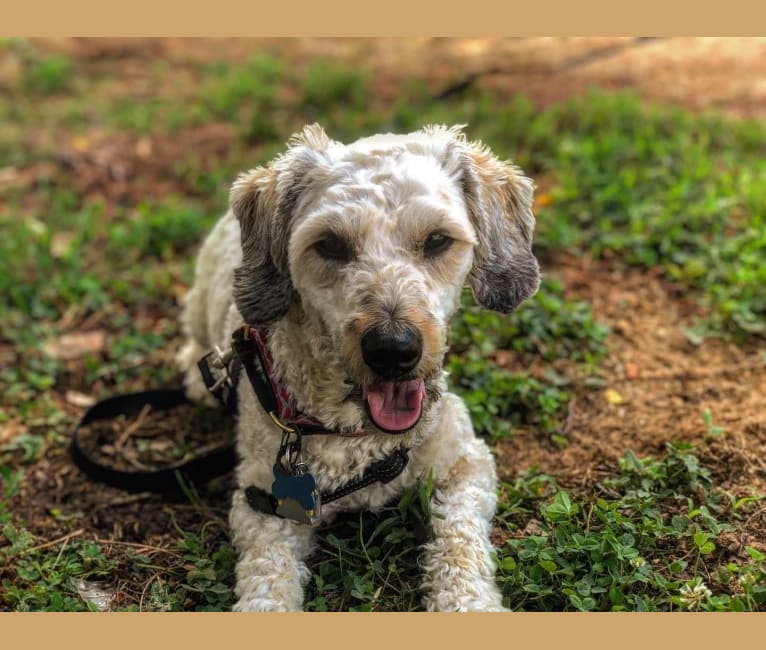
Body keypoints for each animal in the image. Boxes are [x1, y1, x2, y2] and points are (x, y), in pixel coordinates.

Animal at [178, 124, 544, 612]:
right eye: (330, 244)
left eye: (437, 240)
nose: (392, 350)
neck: (357, 435)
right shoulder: (263, 507)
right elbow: (267, 580)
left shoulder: (465, 463)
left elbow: (459, 543)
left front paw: (469, 604)